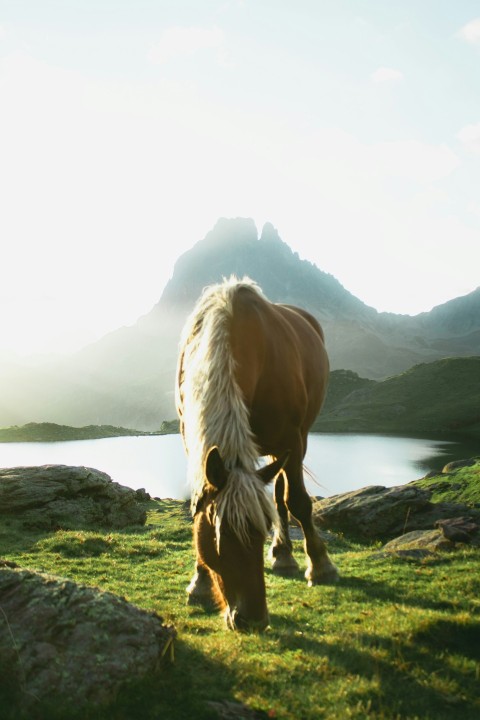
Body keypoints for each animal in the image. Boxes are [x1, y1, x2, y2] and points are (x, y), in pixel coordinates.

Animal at [175, 276, 338, 631]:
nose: (253, 619)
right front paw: (200, 583)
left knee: (282, 494)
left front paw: (321, 566)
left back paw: (285, 555)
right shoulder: (190, 437)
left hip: (291, 444)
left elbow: (297, 502)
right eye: (220, 535)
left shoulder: (292, 438)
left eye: (261, 531)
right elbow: (198, 503)